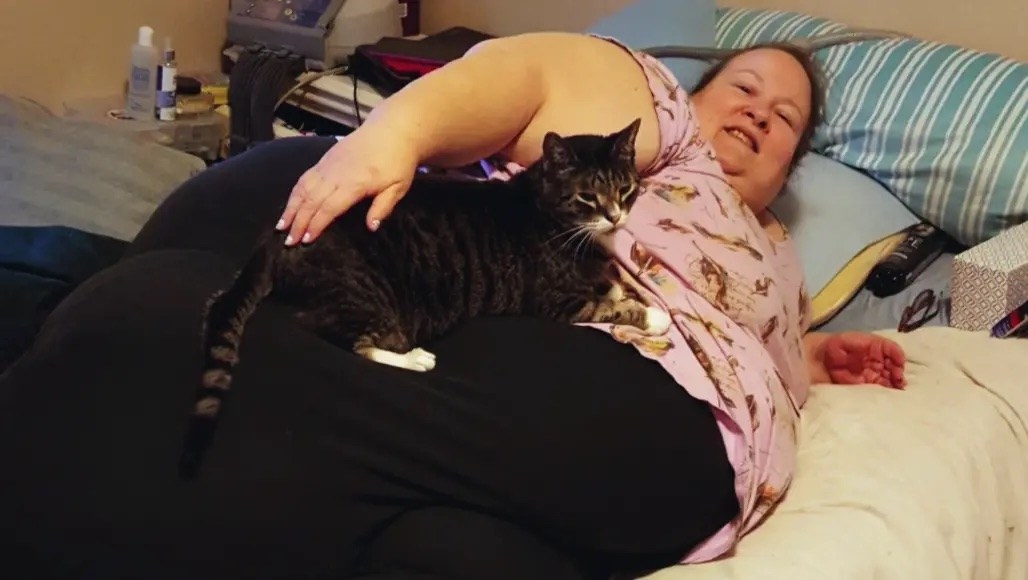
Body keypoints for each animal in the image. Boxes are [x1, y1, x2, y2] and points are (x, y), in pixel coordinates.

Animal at [179, 116, 670, 475]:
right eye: (587, 197)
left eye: (625, 189)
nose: (615, 217)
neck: (551, 213)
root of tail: (275, 240)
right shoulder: (558, 302)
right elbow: (610, 306)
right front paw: (654, 317)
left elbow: (609, 282)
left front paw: (620, 282)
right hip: (368, 297)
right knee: (336, 335)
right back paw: (414, 358)